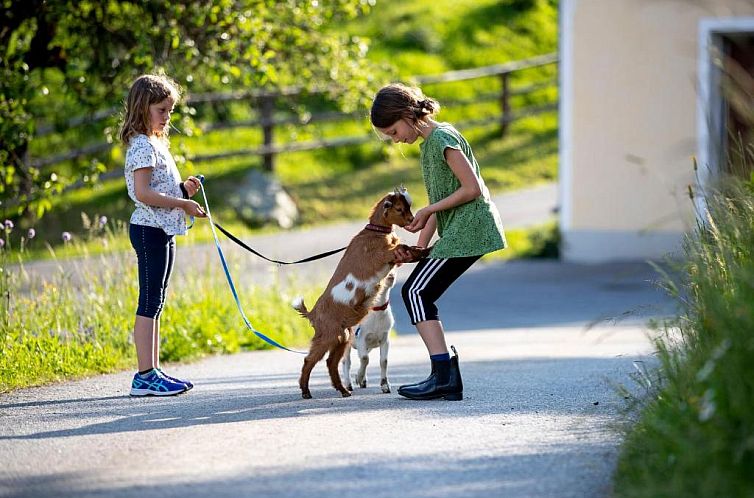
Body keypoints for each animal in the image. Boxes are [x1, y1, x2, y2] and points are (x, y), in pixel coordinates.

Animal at [290, 189, 426, 398]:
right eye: (399, 208)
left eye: (408, 207)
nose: (411, 220)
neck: (375, 234)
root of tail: (312, 313)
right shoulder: (382, 255)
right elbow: (402, 249)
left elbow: (409, 251)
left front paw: (427, 249)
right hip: (328, 335)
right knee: (310, 360)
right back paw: (306, 391)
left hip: (342, 337)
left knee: (331, 362)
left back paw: (344, 390)